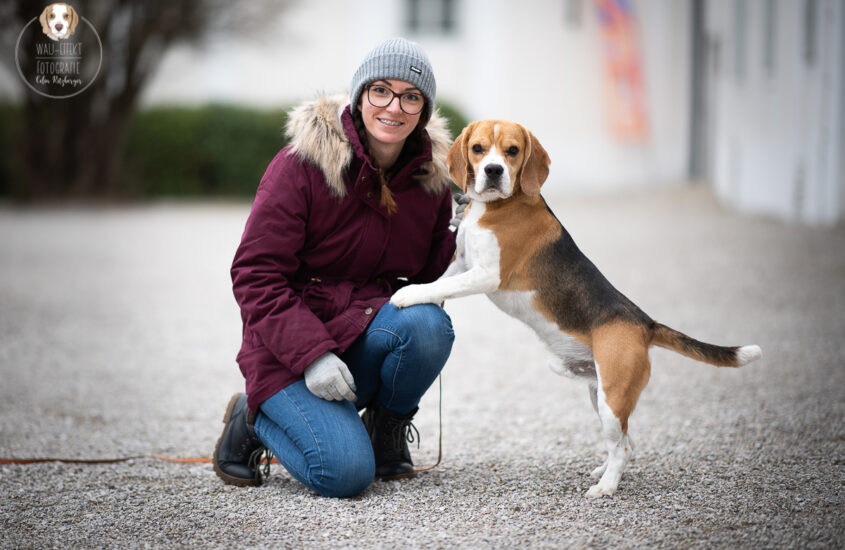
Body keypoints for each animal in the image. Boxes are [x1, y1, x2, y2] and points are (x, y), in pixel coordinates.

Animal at [392, 121, 760, 500]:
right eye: (478, 149)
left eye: (512, 151)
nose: (493, 171)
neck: (495, 206)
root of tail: (644, 321)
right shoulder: (462, 262)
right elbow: (440, 281)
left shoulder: (486, 274)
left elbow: (439, 285)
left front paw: (407, 295)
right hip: (600, 394)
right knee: (627, 444)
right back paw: (605, 472)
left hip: (612, 398)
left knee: (621, 448)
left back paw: (606, 487)